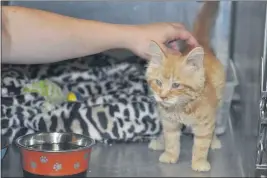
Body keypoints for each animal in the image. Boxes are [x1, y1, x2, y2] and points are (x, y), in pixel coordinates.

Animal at [147, 1, 226, 171]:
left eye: (176, 85)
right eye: (158, 82)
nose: (162, 96)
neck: (181, 107)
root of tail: (201, 45)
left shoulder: (205, 123)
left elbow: (202, 144)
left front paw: (199, 162)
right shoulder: (169, 122)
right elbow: (170, 139)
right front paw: (170, 154)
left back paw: (214, 140)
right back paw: (160, 141)